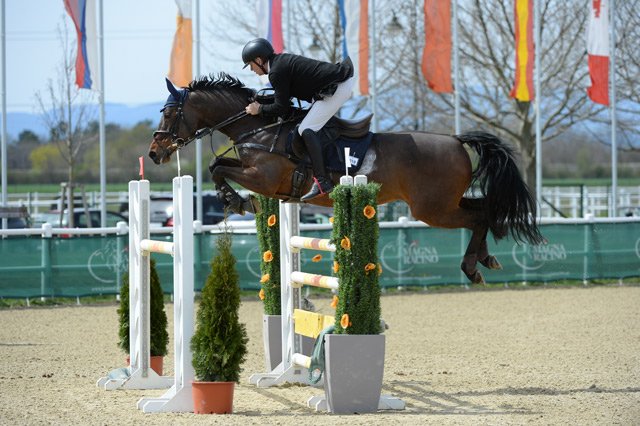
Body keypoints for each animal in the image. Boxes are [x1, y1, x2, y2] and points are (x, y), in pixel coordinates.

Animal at [151, 74, 544, 284]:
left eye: (169, 113)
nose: (155, 153)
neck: (259, 127)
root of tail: (456, 140)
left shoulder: (262, 178)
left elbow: (218, 168)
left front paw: (236, 200)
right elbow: (217, 165)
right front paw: (234, 199)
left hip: (432, 209)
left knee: (478, 216)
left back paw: (471, 267)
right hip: (444, 202)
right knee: (485, 209)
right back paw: (486, 258)